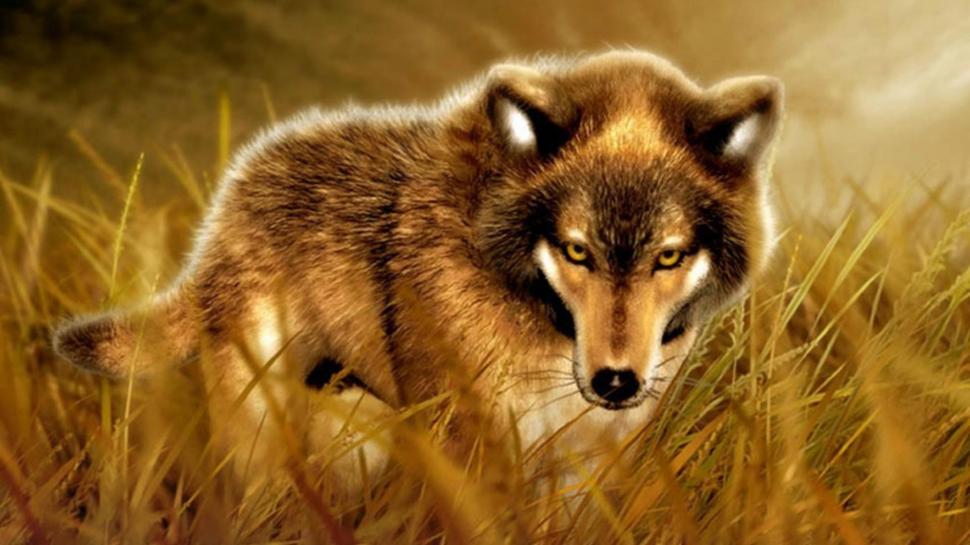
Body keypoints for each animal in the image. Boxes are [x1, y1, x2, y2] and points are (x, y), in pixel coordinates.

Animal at [52, 50, 783, 481]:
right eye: (577, 250)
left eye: (669, 255)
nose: (616, 383)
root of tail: (230, 197)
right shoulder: (467, 449)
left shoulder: (589, 467)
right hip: (271, 429)